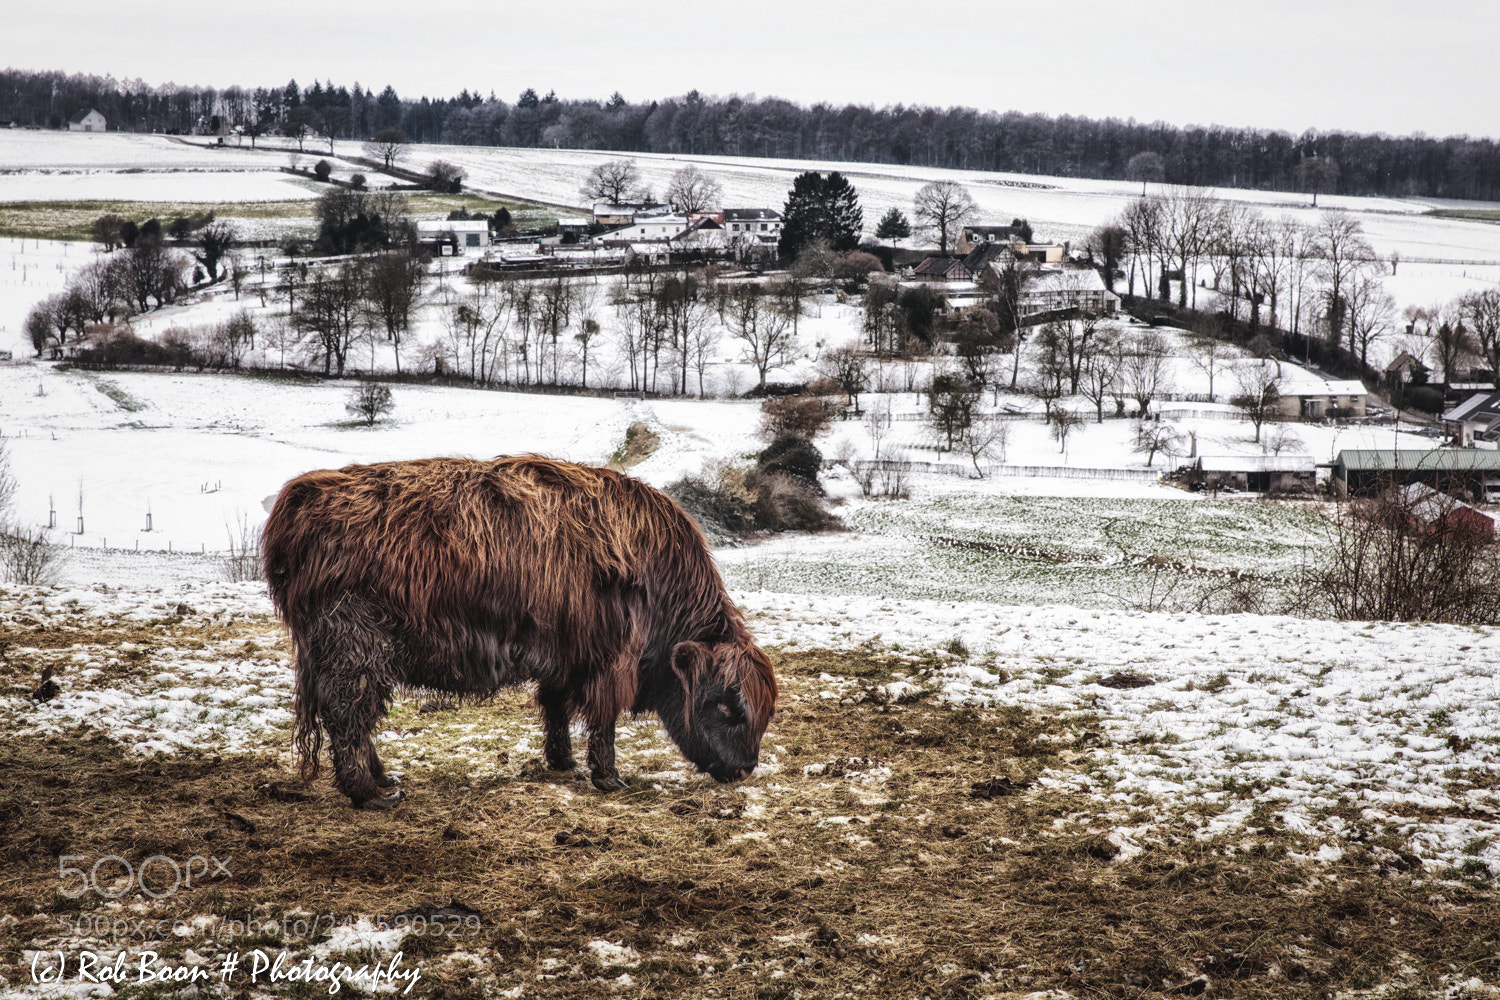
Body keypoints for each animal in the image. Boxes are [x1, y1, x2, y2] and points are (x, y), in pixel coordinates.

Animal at [261, 455, 778, 809]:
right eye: (726, 706)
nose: (745, 769)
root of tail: (298, 500)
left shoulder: (566, 656)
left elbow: (555, 706)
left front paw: (562, 762)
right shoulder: (610, 662)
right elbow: (602, 720)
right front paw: (608, 778)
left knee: (354, 719)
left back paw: (386, 779)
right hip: (355, 649)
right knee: (349, 717)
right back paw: (370, 793)